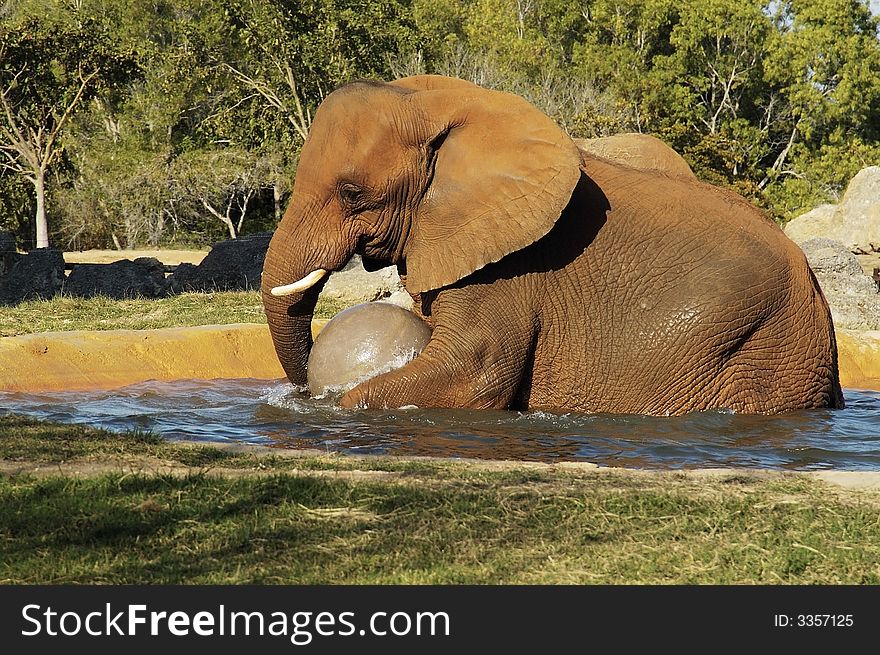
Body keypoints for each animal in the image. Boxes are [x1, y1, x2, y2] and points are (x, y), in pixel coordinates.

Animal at [262, 75, 844, 416]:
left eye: (352, 193)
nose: (306, 388)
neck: (441, 104)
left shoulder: (510, 268)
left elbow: (475, 373)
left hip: (765, 351)